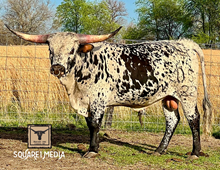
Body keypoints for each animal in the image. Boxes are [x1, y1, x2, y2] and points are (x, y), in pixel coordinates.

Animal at [5, 24, 211, 159]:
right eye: (50, 48)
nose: (57, 68)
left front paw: (92, 150)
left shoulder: (97, 101)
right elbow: (89, 124)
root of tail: (184, 43)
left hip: (187, 93)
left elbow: (95, 124)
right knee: (172, 120)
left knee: (193, 119)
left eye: (72, 49)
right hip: (168, 96)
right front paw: (93, 147)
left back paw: (194, 153)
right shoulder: (87, 102)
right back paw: (159, 150)